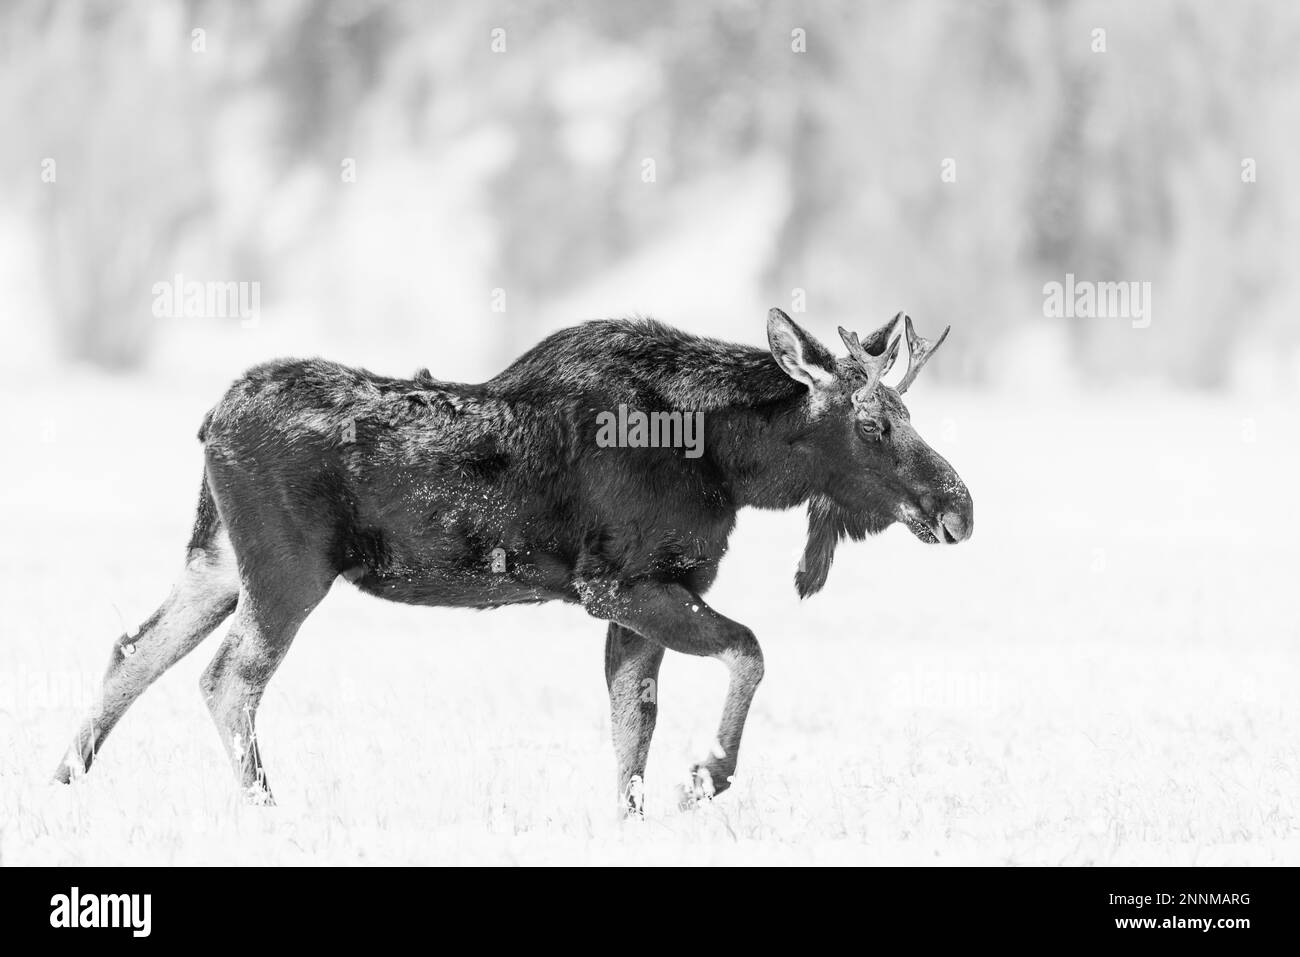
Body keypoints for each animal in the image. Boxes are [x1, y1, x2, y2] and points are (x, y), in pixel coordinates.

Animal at [55, 310, 972, 811]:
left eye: (909, 413)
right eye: (873, 423)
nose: (959, 506)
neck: (731, 457)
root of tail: (210, 417)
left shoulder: (647, 592)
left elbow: (631, 729)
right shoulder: (619, 584)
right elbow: (748, 651)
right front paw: (706, 775)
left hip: (216, 560)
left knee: (134, 651)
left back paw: (64, 779)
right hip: (286, 571)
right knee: (227, 677)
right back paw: (268, 810)